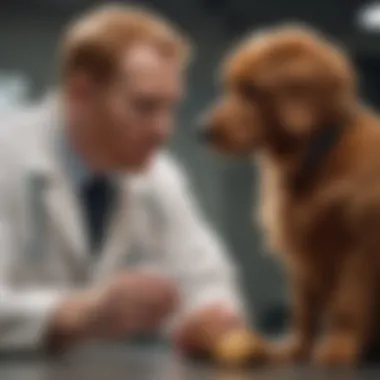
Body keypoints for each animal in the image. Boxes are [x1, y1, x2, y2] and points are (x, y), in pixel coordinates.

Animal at [202, 25, 380, 366]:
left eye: (251, 90)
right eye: (229, 86)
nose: (200, 131)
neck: (318, 156)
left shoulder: (360, 245)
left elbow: (348, 304)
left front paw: (338, 346)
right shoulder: (301, 251)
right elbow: (304, 310)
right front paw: (295, 349)